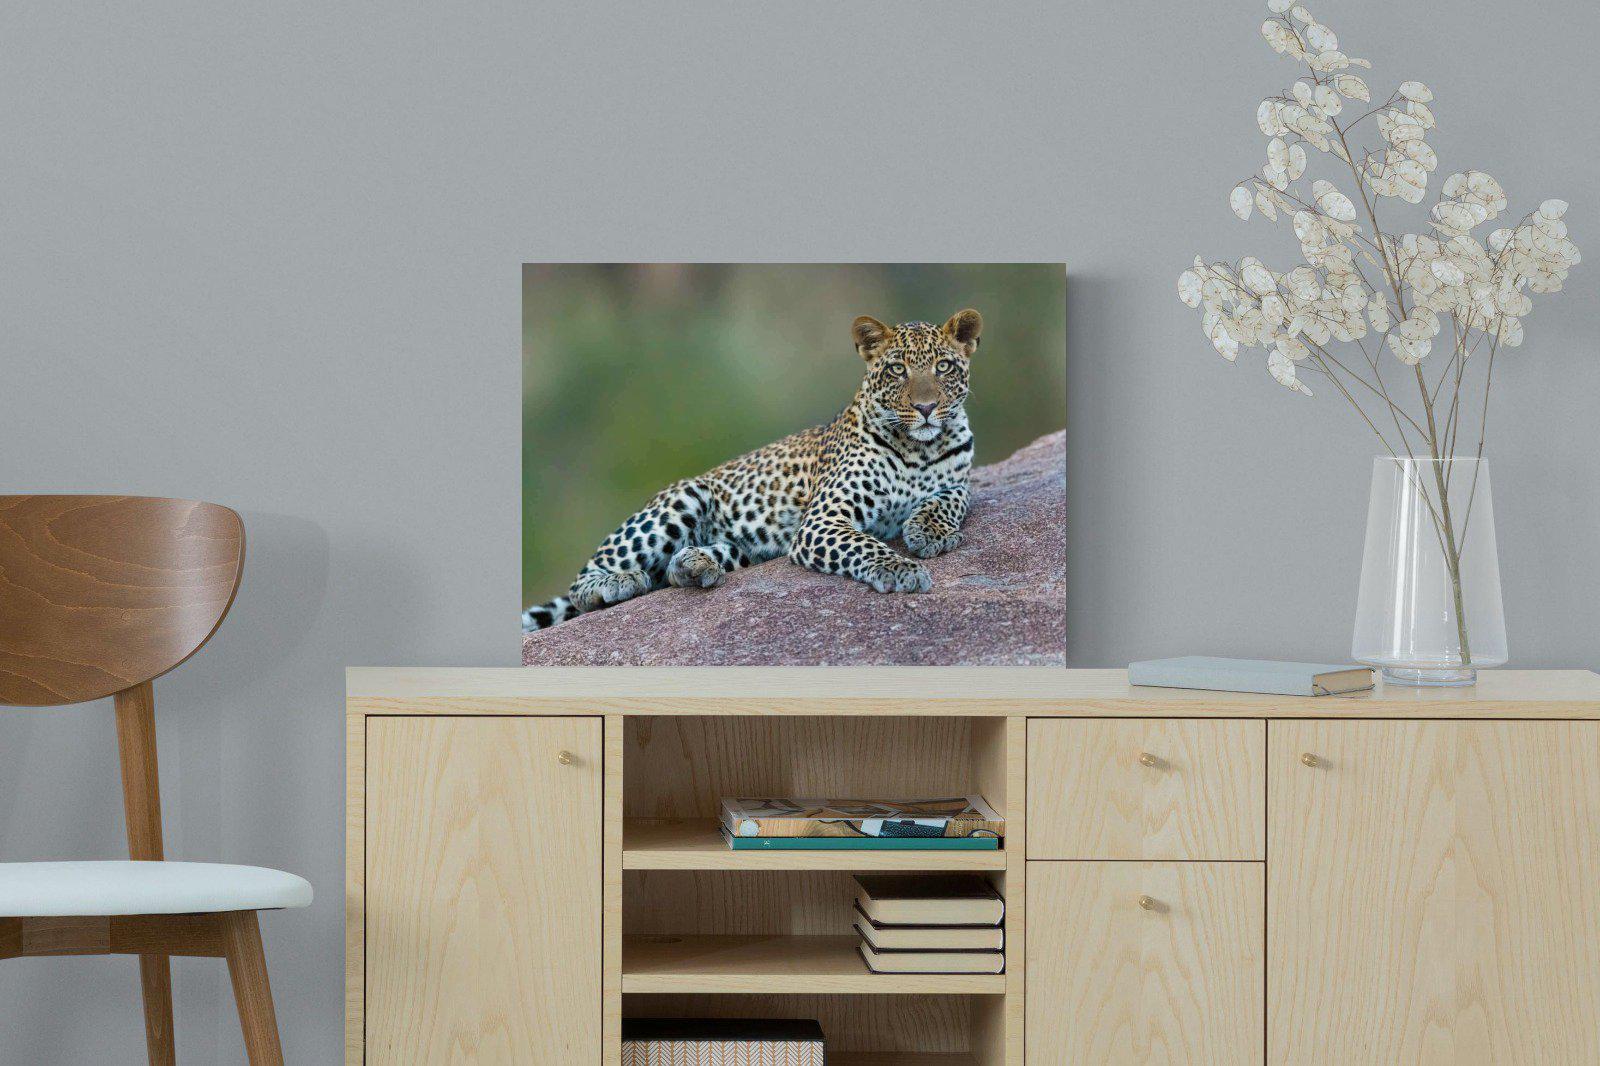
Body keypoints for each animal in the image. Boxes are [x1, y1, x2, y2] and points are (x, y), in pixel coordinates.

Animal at [522, 308, 983, 632]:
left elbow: (950, 499)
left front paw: (930, 532)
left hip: (744, 546)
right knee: (584, 582)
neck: (919, 448)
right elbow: (866, 545)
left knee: (675, 569)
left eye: (943, 367)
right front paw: (901, 569)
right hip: (681, 500)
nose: (926, 408)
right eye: (896, 369)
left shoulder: (960, 481)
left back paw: (695, 565)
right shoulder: (823, 520)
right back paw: (618, 582)